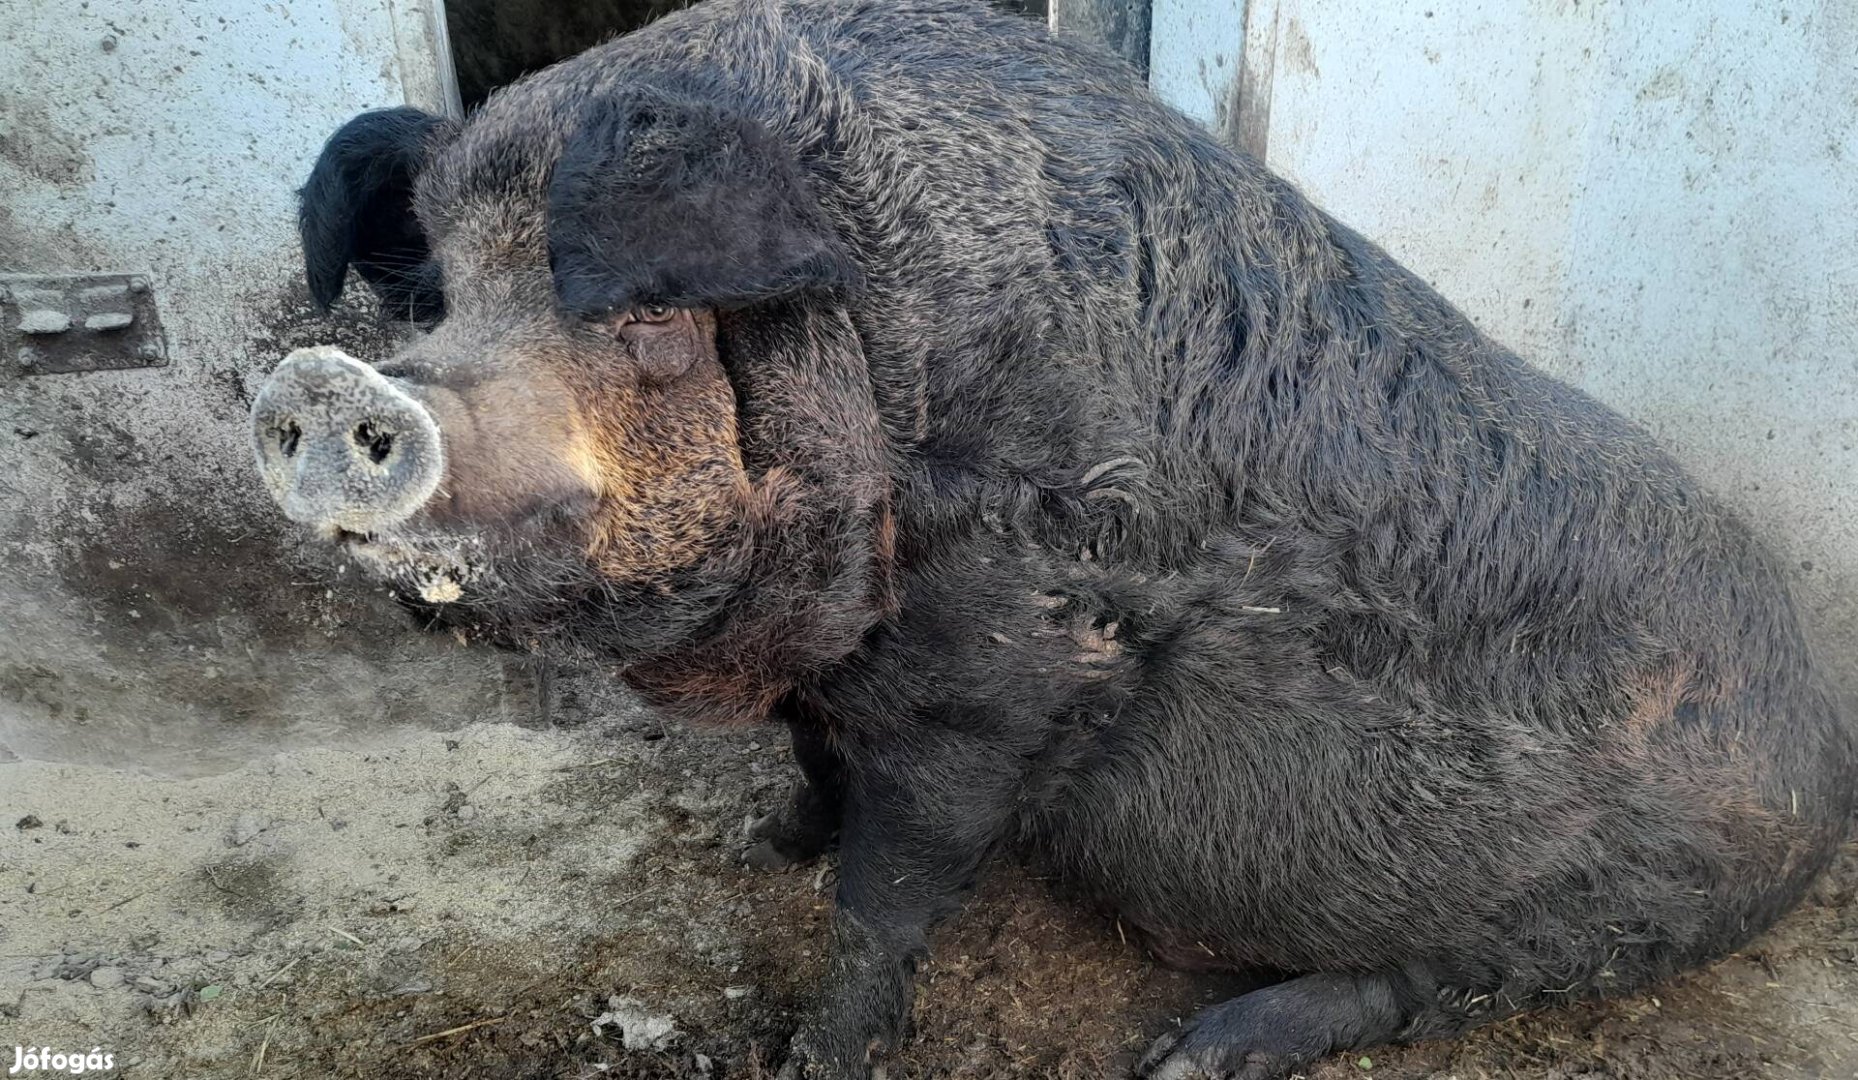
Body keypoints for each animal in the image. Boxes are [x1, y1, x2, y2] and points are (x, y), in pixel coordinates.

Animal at [250, 4, 1858, 1070]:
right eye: (439, 297)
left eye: (645, 321)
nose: (327, 384)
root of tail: (1820, 756)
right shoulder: (845, 679)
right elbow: (812, 770)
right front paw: (771, 845)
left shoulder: (1005, 667)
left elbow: (889, 895)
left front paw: (820, 1049)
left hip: (1598, 920)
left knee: (1424, 986)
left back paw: (1196, 1056)